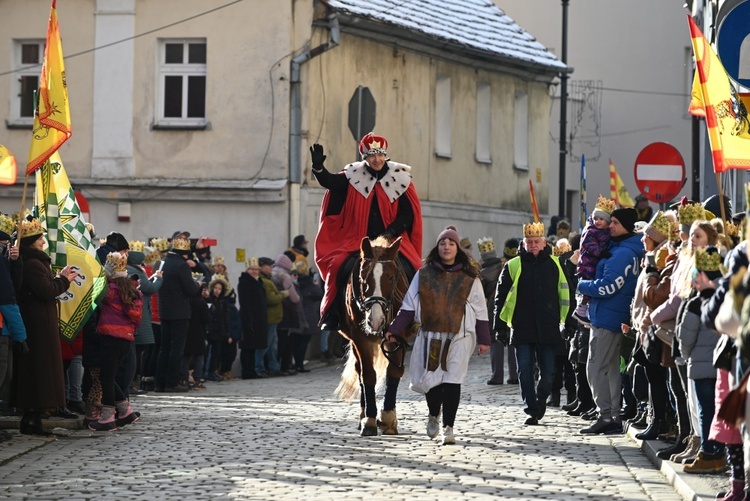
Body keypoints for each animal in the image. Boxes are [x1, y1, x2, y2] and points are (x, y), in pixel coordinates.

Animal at [336, 234, 414, 434]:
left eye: (391, 278)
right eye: (363, 278)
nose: (376, 320)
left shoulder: (399, 336)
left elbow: (394, 371)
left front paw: (388, 417)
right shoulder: (359, 338)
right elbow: (368, 375)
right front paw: (370, 419)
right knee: (360, 372)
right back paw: (363, 415)